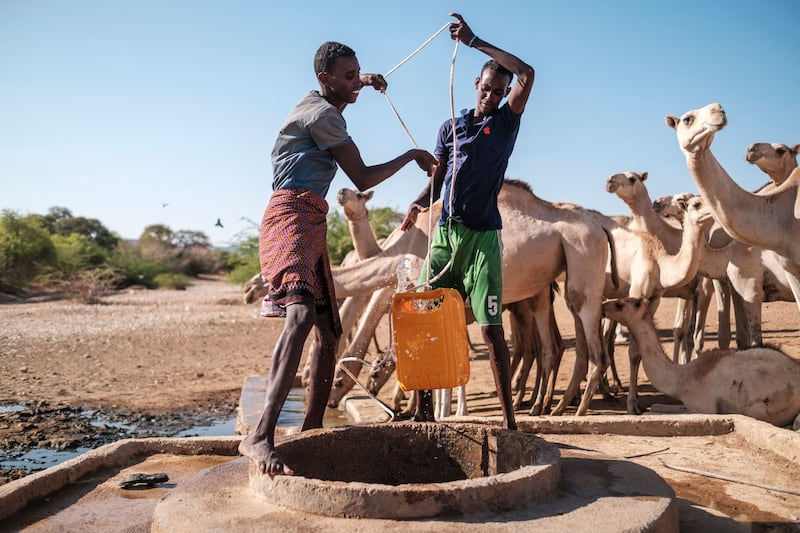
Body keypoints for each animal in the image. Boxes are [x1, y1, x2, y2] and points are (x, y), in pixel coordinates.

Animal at [604, 298, 800, 430]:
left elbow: (651, 411)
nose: (604, 305)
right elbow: (655, 406)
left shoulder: (703, 408)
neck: (681, 378)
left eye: (620, 304)